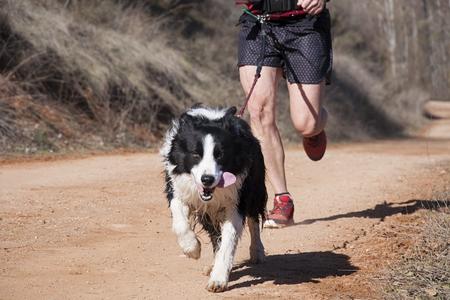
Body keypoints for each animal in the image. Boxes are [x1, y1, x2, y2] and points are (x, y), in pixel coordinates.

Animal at [162, 104, 268, 292]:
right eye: (196, 154)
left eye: (220, 155)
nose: (207, 179)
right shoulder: (177, 186)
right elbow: (180, 219)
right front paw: (192, 249)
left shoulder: (237, 196)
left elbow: (229, 239)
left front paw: (218, 280)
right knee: (214, 235)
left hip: (256, 186)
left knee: (254, 220)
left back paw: (257, 253)